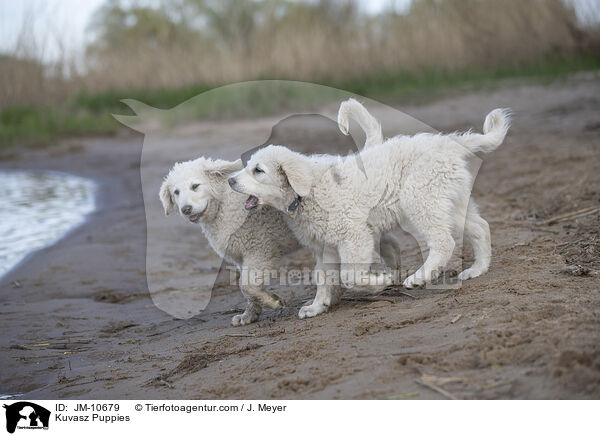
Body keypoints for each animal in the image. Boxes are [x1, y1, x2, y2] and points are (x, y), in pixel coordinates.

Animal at [159, 99, 404, 324]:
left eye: (195, 186)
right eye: (176, 192)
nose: (186, 209)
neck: (223, 205)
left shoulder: (259, 252)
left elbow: (247, 285)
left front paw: (273, 302)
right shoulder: (242, 258)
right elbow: (247, 290)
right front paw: (250, 314)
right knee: (389, 242)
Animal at [227, 104, 508, 318]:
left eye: (258, 170)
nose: (230, 180)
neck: (306, 192)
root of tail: (450, 144)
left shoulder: (354, 237)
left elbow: (350, 276)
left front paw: (382, 281)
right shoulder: (325, 247)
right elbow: (323, 278)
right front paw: (317, 306)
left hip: (421, 201)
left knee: (444, 241)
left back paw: (420, 277)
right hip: (451, 200)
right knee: (480, 228)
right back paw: (477, 269)